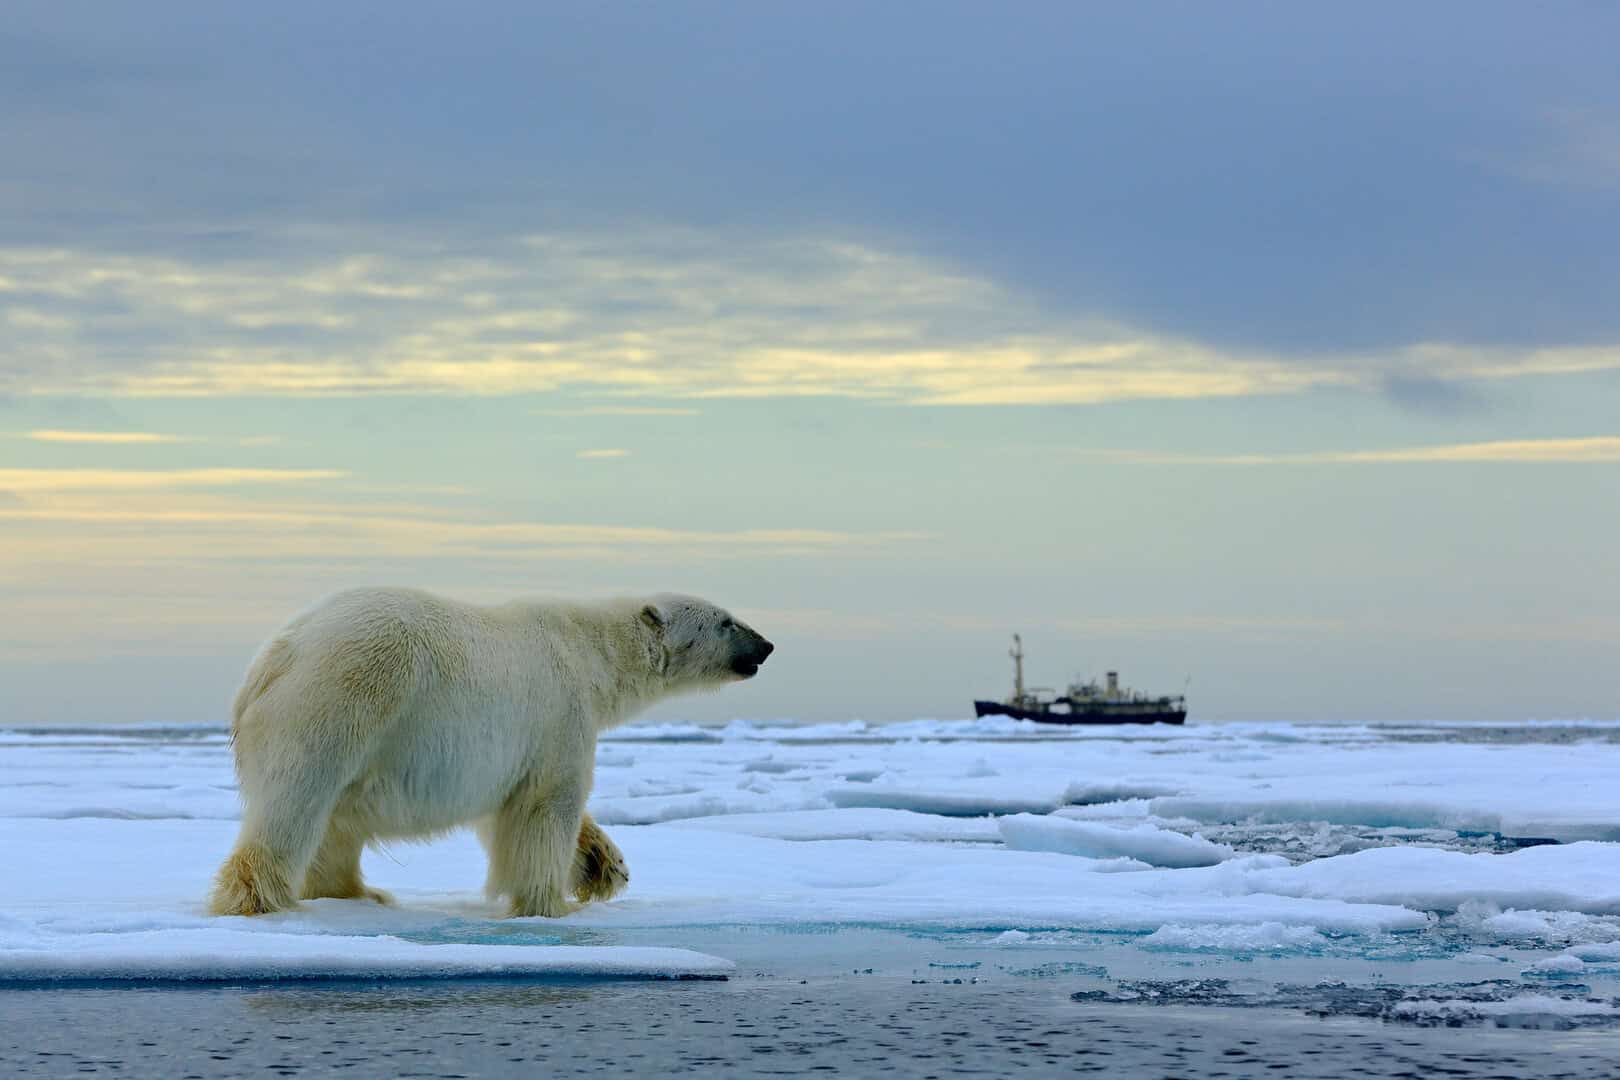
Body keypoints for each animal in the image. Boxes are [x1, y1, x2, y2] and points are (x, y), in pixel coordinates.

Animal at [207, 586, 773, 919]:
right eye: (726, 621)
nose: (766, 646)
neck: (591, 653)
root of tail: (276, 657)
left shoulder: (504, 750)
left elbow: (506, 806)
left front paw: (603, 867)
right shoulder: (559, 710)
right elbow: (549, 804)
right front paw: (550, 903)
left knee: (336, 820)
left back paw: (360, 893)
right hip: (344, 696)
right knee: (297, 801)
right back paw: (258, 899)